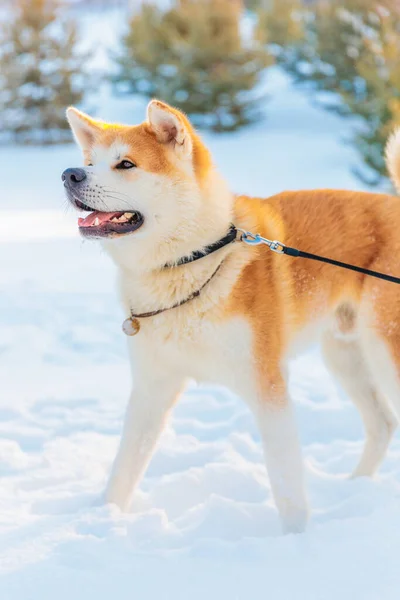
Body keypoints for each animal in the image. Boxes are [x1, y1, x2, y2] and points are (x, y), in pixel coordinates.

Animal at [62, 99, 400, 536]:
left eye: (125, 164)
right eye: (90, 161)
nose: (69, 174)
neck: (194, 260)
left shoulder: (268, 387)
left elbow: (286, 482)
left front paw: (296, 540)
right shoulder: (152, 388)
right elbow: (124, 468)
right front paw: (104, 517)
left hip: (383, 350)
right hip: (345, 355)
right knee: (382, 424)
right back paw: (354, 487)